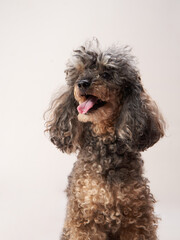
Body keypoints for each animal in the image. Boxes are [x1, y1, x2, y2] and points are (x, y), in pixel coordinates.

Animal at [45, 39, 165, 240]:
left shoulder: (137, 218)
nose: (82, 83)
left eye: (107, 74)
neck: (105, 144)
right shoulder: (85, 217)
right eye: (80, 72)